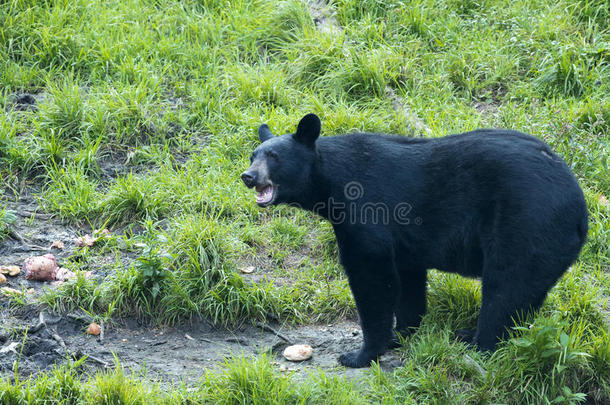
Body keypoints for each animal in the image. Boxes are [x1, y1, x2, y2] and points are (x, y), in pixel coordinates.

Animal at [240, 112, 588, 368]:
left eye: (273, 156)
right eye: (253, 155)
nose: (248, 176)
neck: (329, 187)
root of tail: (579, 208)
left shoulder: (366, 214)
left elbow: (371, 277)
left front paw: (360, 354)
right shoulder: (406, 242)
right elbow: (409, 281)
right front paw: (402, 333)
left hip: (525, 225)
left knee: (505, 287)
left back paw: (479, 343)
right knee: (523, 296)